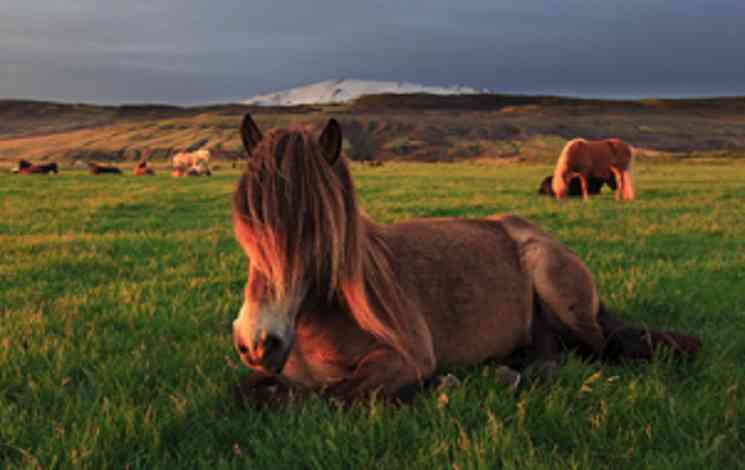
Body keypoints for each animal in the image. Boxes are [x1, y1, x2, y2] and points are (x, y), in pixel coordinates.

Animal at [231, 114, 696, 404]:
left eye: (316, 227)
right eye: (247, 223)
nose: (257, 341)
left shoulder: (405, 358)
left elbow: (341, 394)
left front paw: (440, 386)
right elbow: (252, 393)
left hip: (556, 286)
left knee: (593, 349)